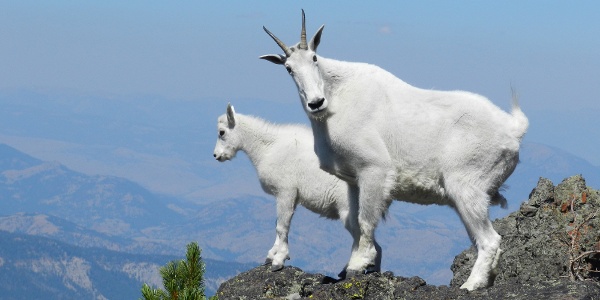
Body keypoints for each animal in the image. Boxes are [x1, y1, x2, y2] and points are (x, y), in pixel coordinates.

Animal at [260, 10, 528, 290]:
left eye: (314, 58)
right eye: (289, 68)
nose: (316, 102)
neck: (336, 100)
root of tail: (513, 129)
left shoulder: (373, 169)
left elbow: (366, 219)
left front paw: (358, 265)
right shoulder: (353, 180)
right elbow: (355, 220)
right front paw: (353, 264)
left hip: (466, 186)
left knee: (489, 240)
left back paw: (470, 285)